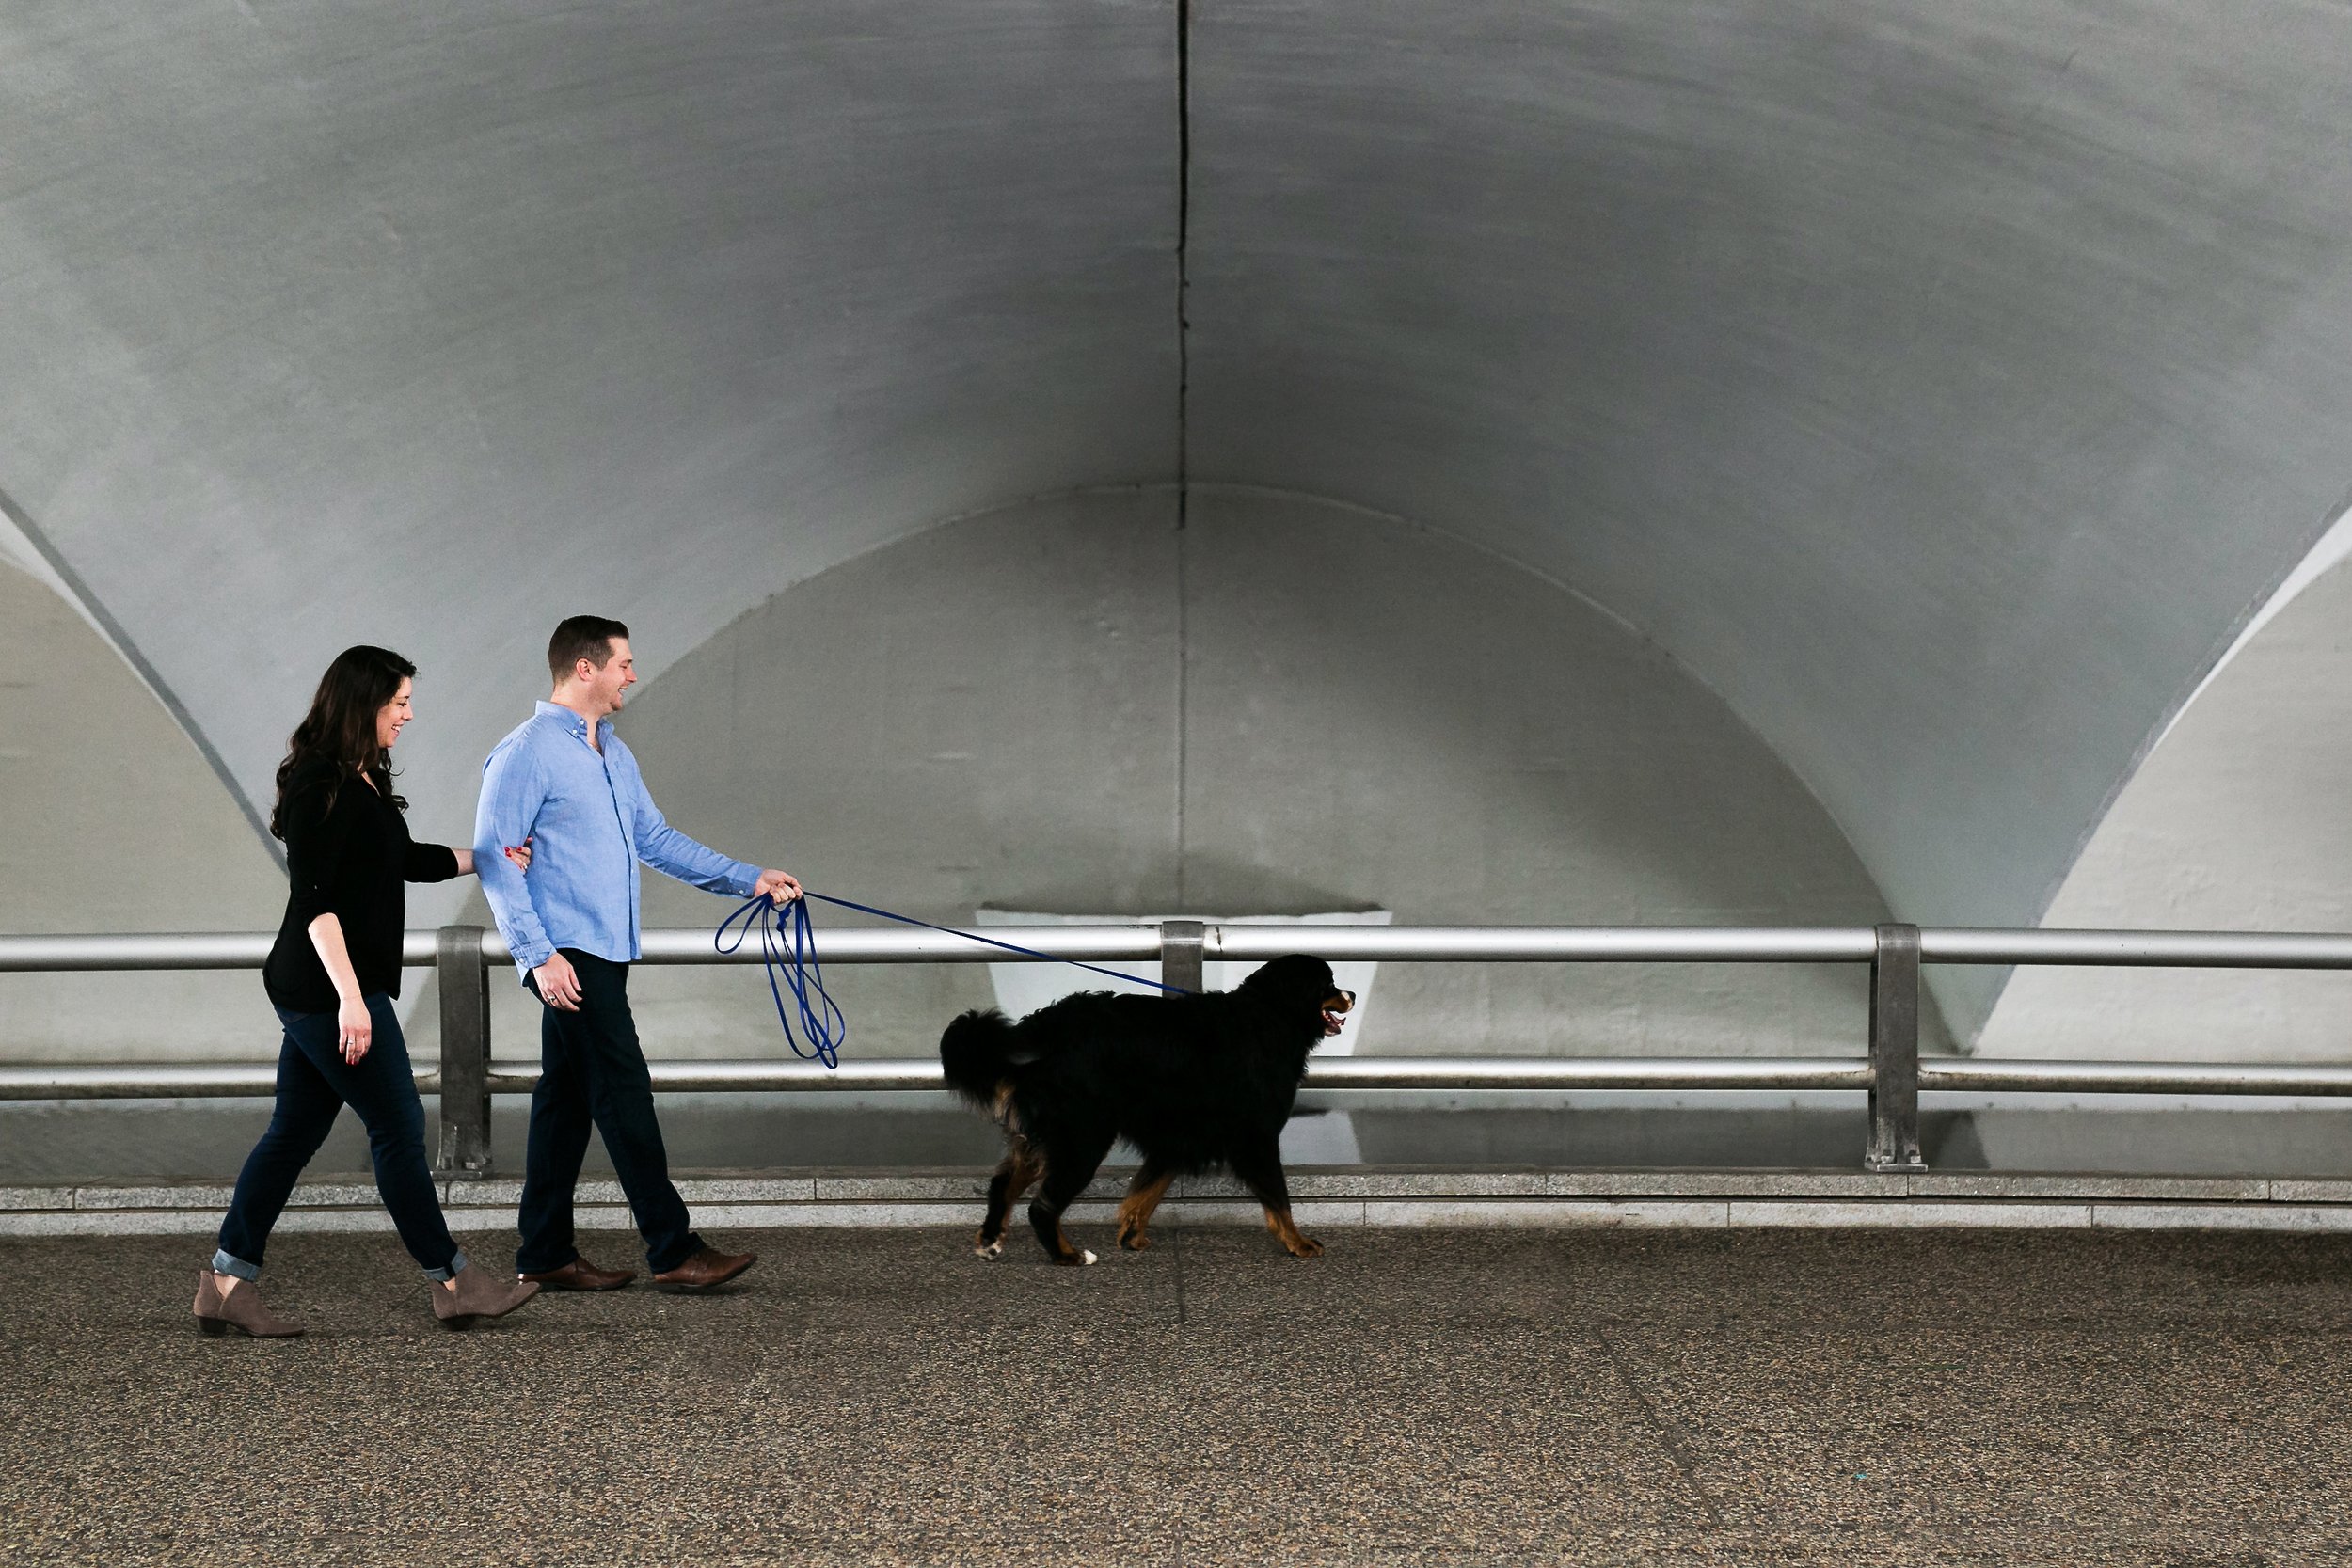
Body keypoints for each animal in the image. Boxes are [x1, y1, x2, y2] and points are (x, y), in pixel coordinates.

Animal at [927, 949, 1355, 1269]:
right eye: (1328, 983)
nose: (1350, 993)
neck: (1270, 1015)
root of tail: (1043, 1028)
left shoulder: (1177, 1136)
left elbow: (1148, 1191)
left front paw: (1132, 1234)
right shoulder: (1257, 1136)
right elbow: (1279, 1198)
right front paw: (1298, 1243)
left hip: (1045, 1136)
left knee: (1003, 1184)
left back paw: (990, 1240)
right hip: (1082, 1139)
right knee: (1041, 1207)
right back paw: (1067, 1255)